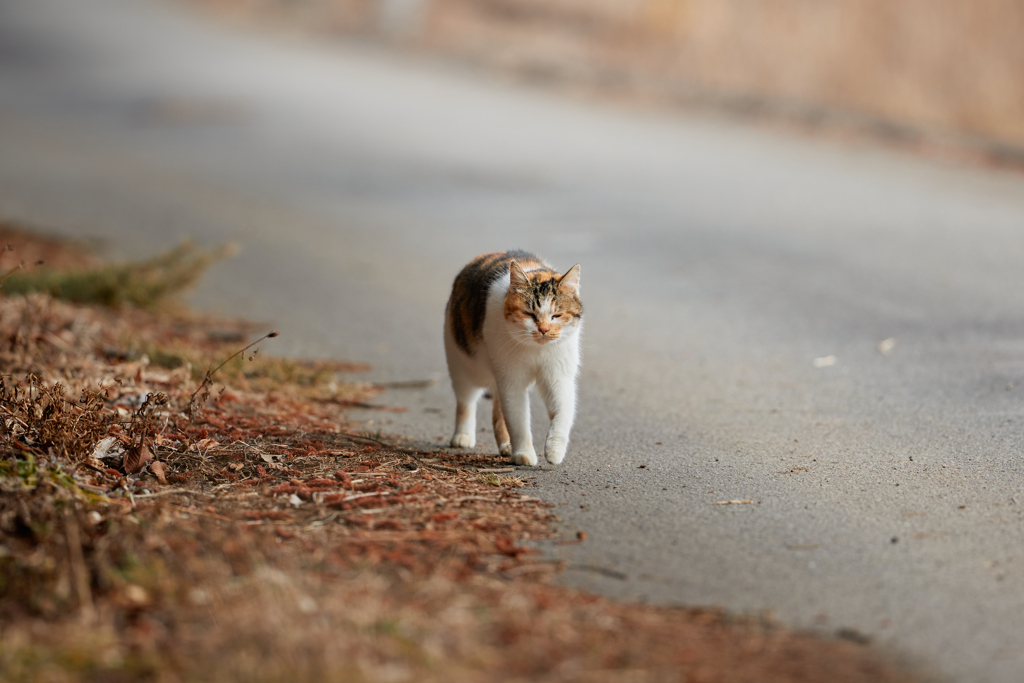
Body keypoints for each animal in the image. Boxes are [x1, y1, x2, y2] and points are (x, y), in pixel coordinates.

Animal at [442, 253, 585, 466]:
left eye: (556, 315)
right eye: (530, 314)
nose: (543, 330)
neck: (537, 349)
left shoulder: (558, 377)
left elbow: (562, 413)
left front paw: (554, 450)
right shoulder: (511, 379)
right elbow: (517, 419)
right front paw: (523, 453)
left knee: (497, 411)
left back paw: (506, 445)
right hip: (465, 364)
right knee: (466, 400)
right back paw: (463, 436)